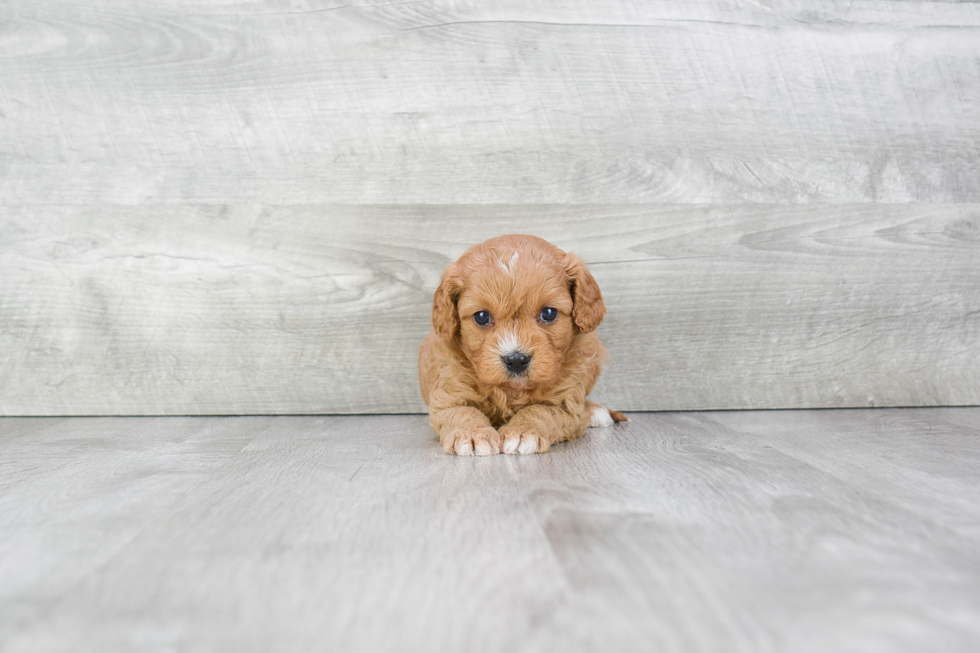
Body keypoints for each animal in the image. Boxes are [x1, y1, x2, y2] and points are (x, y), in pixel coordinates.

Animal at [418, 233, 624, 454]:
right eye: (481, 316)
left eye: (549, 313)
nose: (516, 360)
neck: (511, 391)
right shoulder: (448, 395)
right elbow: (462, 412)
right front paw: (471, 435)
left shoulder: (566, 405)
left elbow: (540, 410)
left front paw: (523, 432)